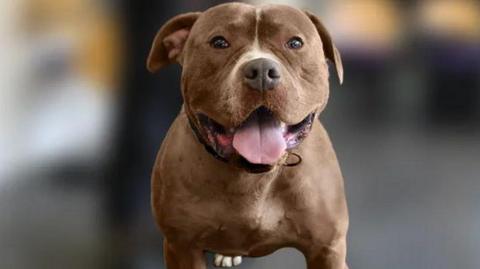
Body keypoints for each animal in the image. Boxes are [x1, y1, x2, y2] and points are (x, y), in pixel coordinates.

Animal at [148, 2, 346, 268]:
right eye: (219, 42)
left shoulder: (327, 249)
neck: (253, 178)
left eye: (295, 43)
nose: (261, 70)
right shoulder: (181, 247)